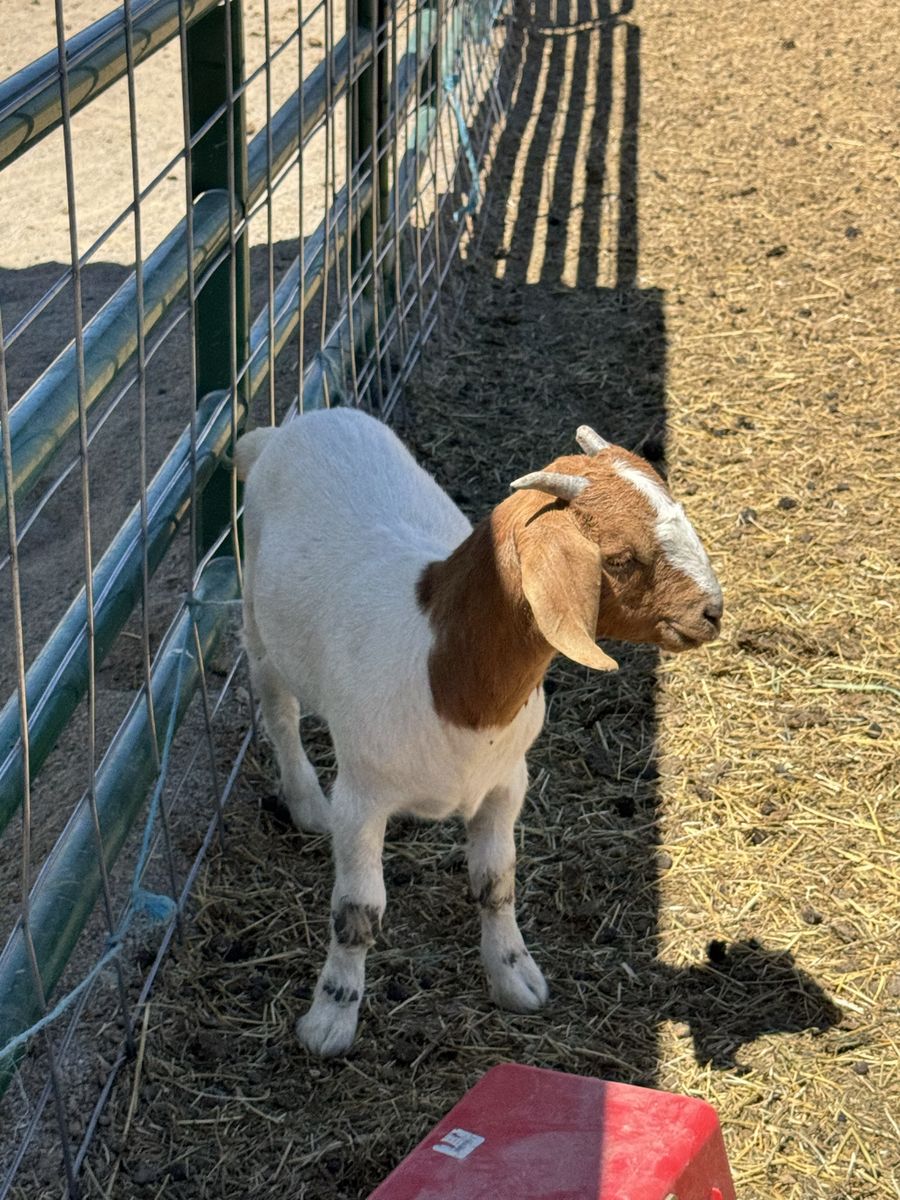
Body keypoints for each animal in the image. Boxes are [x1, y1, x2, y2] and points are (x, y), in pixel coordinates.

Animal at [234, 409, 722, 1056]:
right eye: (620, 558)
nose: (712, 612)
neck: (442, 669)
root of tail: (299, 422)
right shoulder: (361, 798)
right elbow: (359, 912)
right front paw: (330, 1019)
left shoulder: (505, 784)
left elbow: (496, 882)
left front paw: (515, 977)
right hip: (257, 619)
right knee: (278, 708)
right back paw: (304, 801)